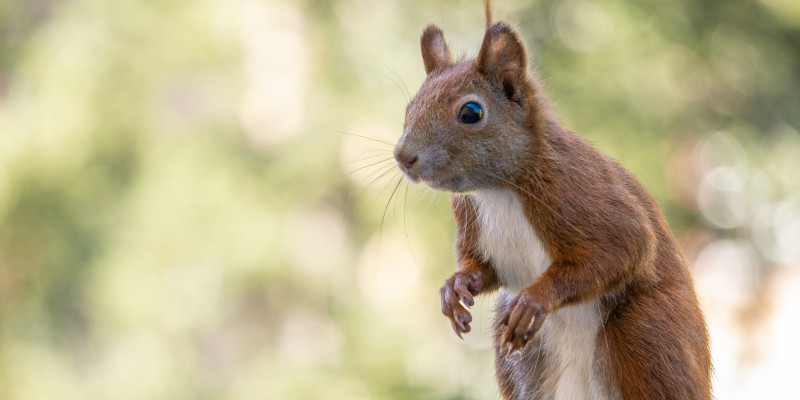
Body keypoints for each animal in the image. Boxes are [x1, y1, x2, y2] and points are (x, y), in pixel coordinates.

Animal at [394, 1, 712, 398]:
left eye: (471, 112)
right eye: (410, 108)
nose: (403, 156)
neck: (498, 190)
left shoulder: (576, 190)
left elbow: (624, 248)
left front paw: (535, 299)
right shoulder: (469, 213)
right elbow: (483, 267)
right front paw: (455, 287)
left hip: (648, 333)